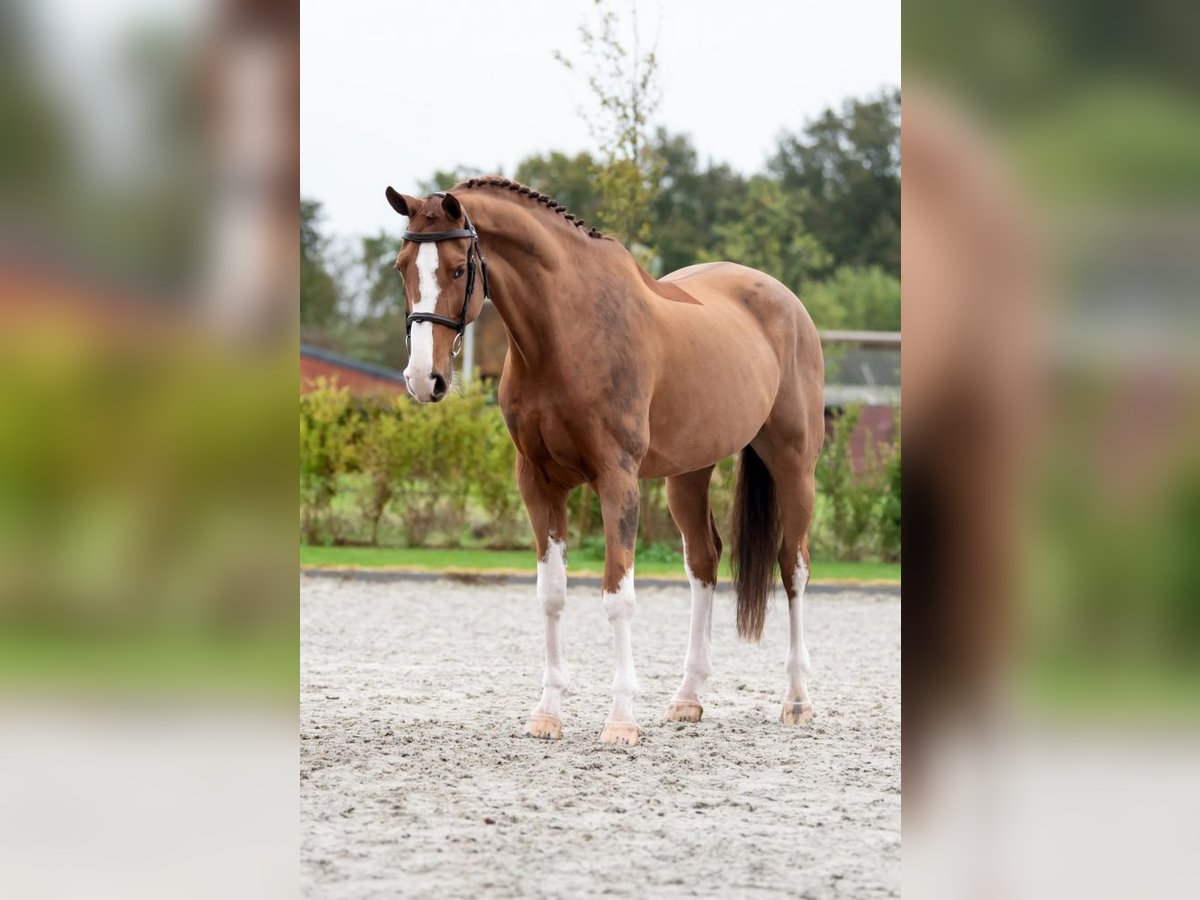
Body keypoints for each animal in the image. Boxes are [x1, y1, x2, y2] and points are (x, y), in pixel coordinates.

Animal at [388, 177, 820, 748]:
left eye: (459, 269)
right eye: (402, 266)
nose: (424, 379)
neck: (566, 332)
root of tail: (785, 300)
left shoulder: (617, 479)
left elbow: (618, 595)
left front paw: (620, 720)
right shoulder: (538, 482)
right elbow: (552, 594)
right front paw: (547, 714)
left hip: (794, 464)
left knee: (793, 567)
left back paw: (797, 699)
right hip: (688, 474)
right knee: (704, 562)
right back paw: (687, 698)